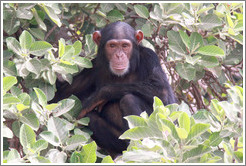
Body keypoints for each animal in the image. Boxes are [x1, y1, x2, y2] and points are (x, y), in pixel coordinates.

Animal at [52, 21, 177, 158]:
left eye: (125, 46)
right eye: (112, 46)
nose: (119, 55)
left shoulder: (150, 58)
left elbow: (163, 94)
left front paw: (99, 95)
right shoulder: (94, 66)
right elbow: (61, 94)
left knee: (129, 100)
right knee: (90, 117)